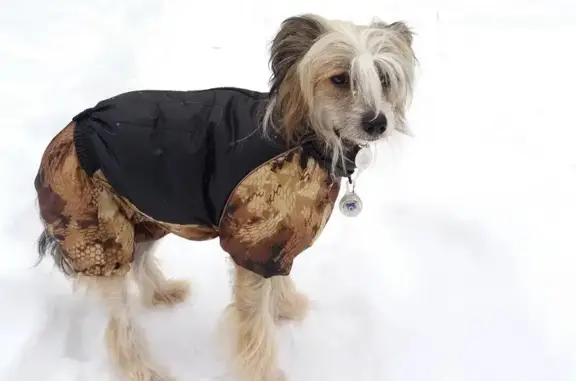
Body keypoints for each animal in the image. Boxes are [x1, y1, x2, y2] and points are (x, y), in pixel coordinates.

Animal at [33, 13, 416, 380]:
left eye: (383, 78)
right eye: (340, 78)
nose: (378, 123)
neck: (303, 139)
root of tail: (70, 130)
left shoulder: (281, 234)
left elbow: (279, 278)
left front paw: (287, 308)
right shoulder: (253, 239)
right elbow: (253, 323)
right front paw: (265, 372)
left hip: (142, 210)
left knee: (139, 257)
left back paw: (161, 293)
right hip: (96, 227)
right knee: (118, 322)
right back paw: (142, 370)